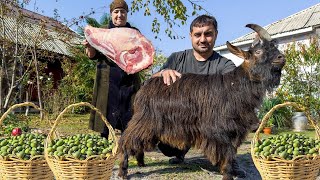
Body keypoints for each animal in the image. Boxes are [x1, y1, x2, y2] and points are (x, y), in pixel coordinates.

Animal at [117, 24, 284, 180]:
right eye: (258, 52)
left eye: (274, 47)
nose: (281, 57)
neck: (235, 85)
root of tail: (145, 86)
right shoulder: (221, 130)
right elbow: (227, 154)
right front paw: (227, 175)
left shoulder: (234, 130)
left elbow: (231, 154)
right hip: (145, 120)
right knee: (125, 140)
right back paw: (123, 171)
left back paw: (140, 163)